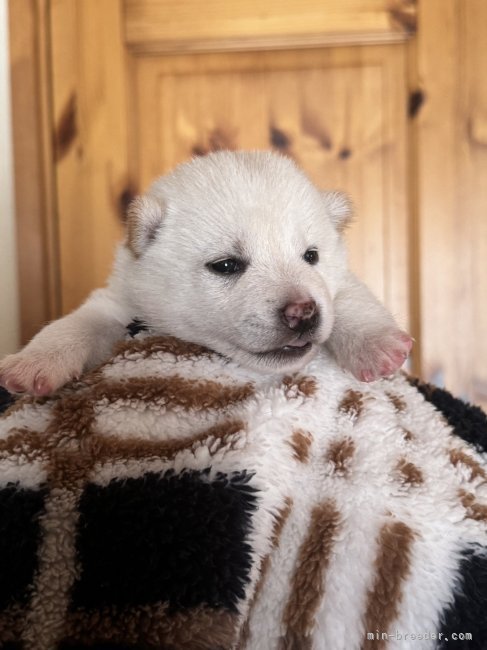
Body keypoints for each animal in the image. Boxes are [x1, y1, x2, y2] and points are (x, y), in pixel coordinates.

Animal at [0, 152, 412, 394]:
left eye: (311, 256)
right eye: (226, 265)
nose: (303, 313)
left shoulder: (335, 284)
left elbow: (347, 297)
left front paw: (377, 344)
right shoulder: (120, 300)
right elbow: (78, 323)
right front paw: (34, 363)